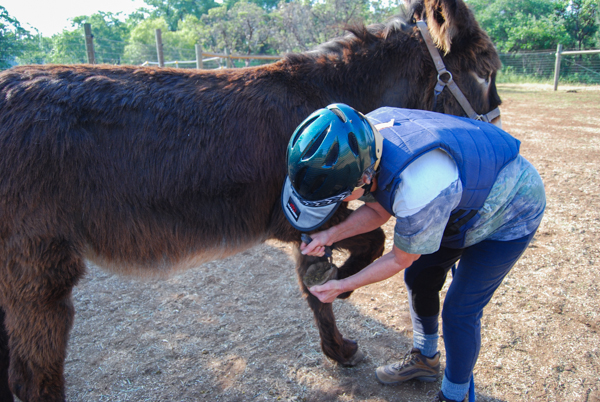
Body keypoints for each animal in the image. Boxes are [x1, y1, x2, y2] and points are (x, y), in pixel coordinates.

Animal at [0, 0, 502, 400]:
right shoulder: (307, 216)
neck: (333, 101)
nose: (500, 133)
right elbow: (367, 245)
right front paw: (344, 296)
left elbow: (329, 273)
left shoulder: (310, 222)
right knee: (34, 376)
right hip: (38, 267)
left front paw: (337, 324)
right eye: (483, 73)